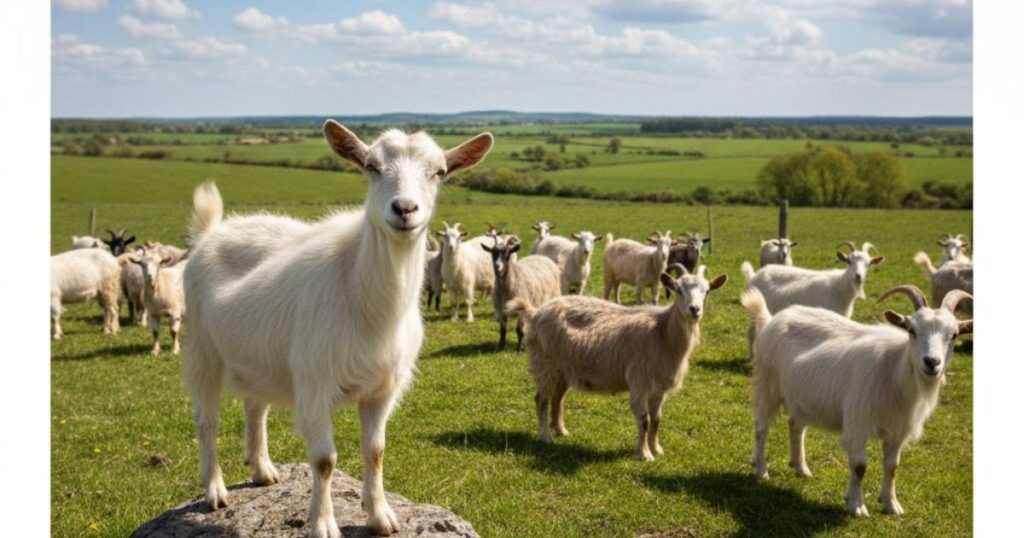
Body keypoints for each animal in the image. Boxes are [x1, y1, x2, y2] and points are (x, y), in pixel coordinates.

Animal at [182, 120, 493, 537]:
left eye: (439, 172)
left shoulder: (382, 389)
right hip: (202, 349)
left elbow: (375, 452)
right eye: (371, 167)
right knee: (207, 421)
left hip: (260, 358)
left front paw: (380, 516)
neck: (367, 301)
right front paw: (324, 523)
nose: (405, 209)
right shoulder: (314, 384)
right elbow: (324, 460)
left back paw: (263, 471)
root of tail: (211, 232)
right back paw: (215, 491)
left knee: (256, 407)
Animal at [508, 263, 727, 460]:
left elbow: (656, 420)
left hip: (564, 369)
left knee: (557, 398)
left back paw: (561, 430)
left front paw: (656, 449)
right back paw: (546, 436)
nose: (694, 310)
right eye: (678, 290)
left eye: (707, 291)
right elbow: (644, 421)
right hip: (545, 364)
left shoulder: (659, 389)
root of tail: (535, 313)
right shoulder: (639, 382)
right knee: (541, 399)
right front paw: (645, 454)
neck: (661, 333)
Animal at [742, 284, 972, 517]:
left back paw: (801, 467)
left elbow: (892, 466)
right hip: (767, 386)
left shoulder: (898, 431)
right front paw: (857, 505)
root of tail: (772, 319)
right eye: (912, 330)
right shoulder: (857, 422)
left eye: (954, 335)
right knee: (761, 428)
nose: (932, 362)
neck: (893, 370)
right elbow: (860, 466)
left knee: (795, 426)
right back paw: (761, 470)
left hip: (802, 397)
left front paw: (891, 504)